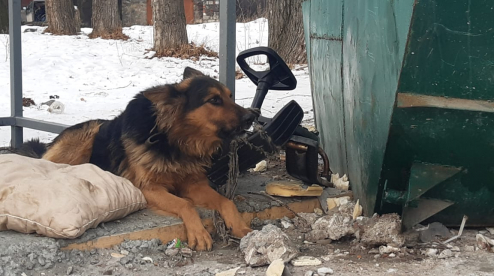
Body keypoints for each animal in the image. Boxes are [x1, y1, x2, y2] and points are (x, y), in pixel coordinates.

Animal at [18, 67, 255, 250]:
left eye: (230, 96)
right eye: (214, 100)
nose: (252, 116)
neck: (172, 141)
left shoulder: (194, 184)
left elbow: (225, 201)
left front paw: (240, 226)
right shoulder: (147, 188)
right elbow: (185, 204)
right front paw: (199, 233)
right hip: (89, 131)